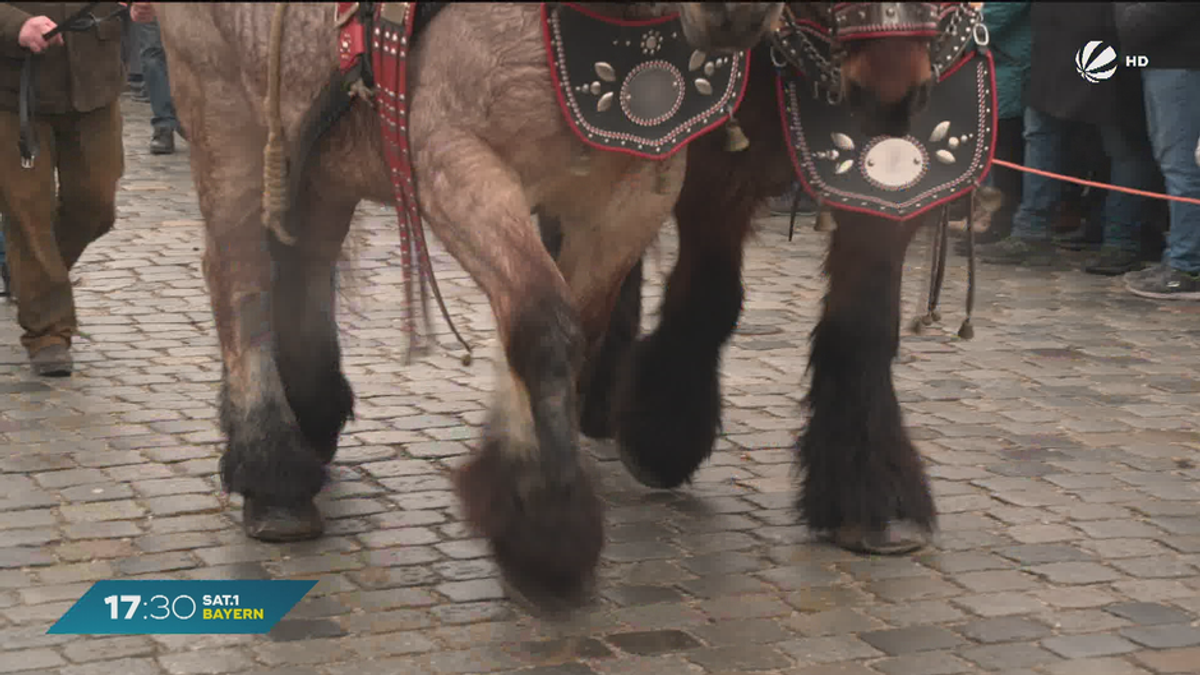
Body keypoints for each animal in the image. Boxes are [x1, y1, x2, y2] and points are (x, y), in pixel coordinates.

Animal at [154, 0, 782, 607]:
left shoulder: (636, 193)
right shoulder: (451, 162)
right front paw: (545, 531)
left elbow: (573, 328)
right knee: (240, 277)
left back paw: (311, 414)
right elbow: (543, 322)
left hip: (322, 147)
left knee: (304, 263)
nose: (738, 11)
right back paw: (271, 469)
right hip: (218, 105)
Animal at [542, 1, 993, 552]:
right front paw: (664, 434)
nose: (889, 95)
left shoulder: (885, 186)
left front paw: (872, 495)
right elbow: (710, 295)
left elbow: (861, 324)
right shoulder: (716, 164)